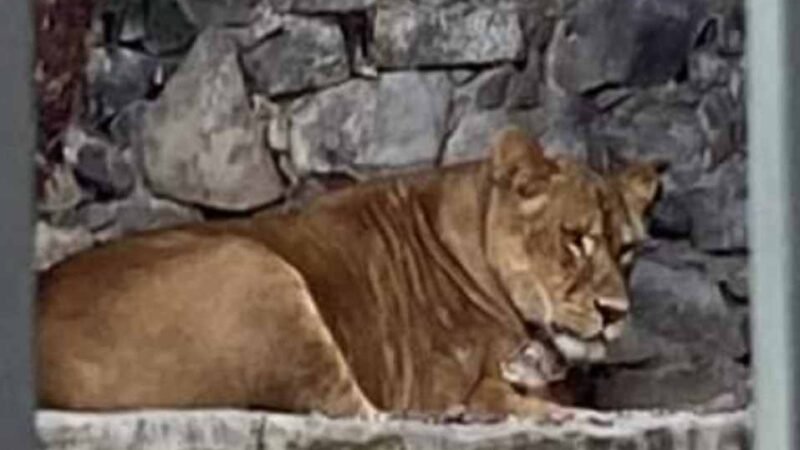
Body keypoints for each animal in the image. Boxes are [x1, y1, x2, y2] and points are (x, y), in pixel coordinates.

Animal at [37, 128, 659, 419]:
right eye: (575, 238)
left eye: (626, 248)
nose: (615, 313)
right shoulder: (447, 381)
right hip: (259, 268)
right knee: (364, 414)